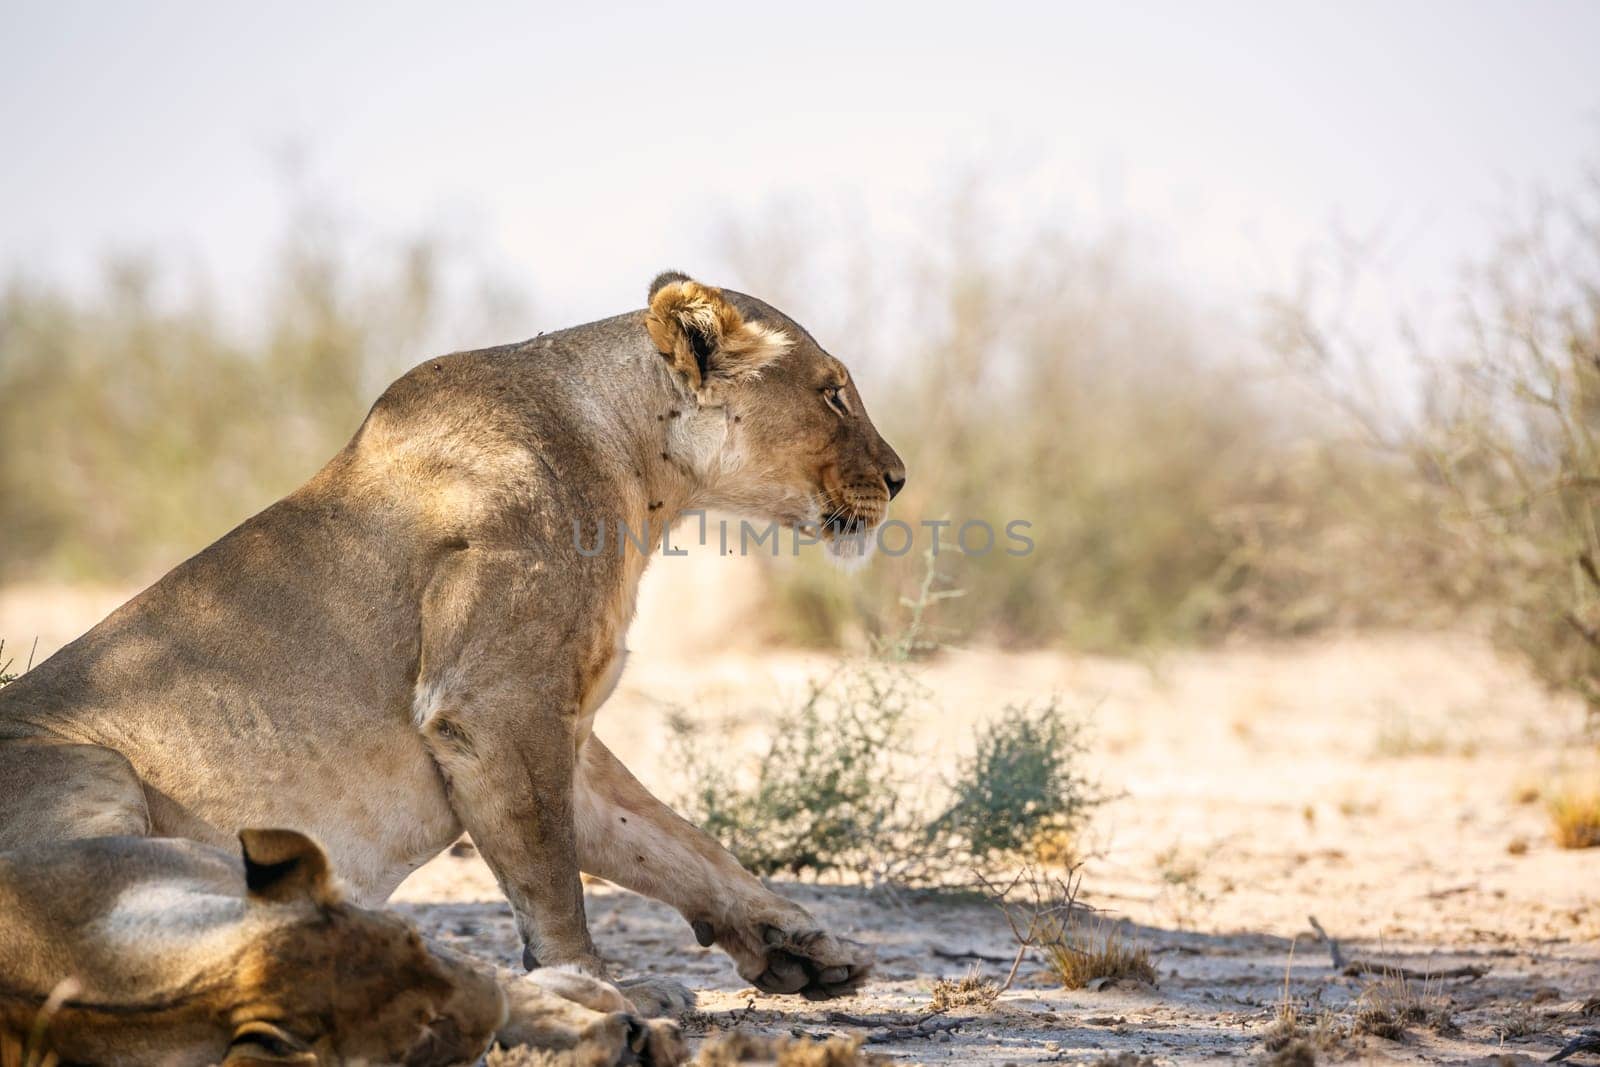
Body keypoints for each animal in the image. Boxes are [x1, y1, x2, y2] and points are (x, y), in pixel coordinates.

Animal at [0, 271, 902, 1004]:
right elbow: (551, 872)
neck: (638, 472)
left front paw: (800, 942)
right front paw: (599, 985)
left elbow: (669, 838)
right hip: (98, 771)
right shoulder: (494, 706)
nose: (899, 478)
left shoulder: (564, 728)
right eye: (833, 393)